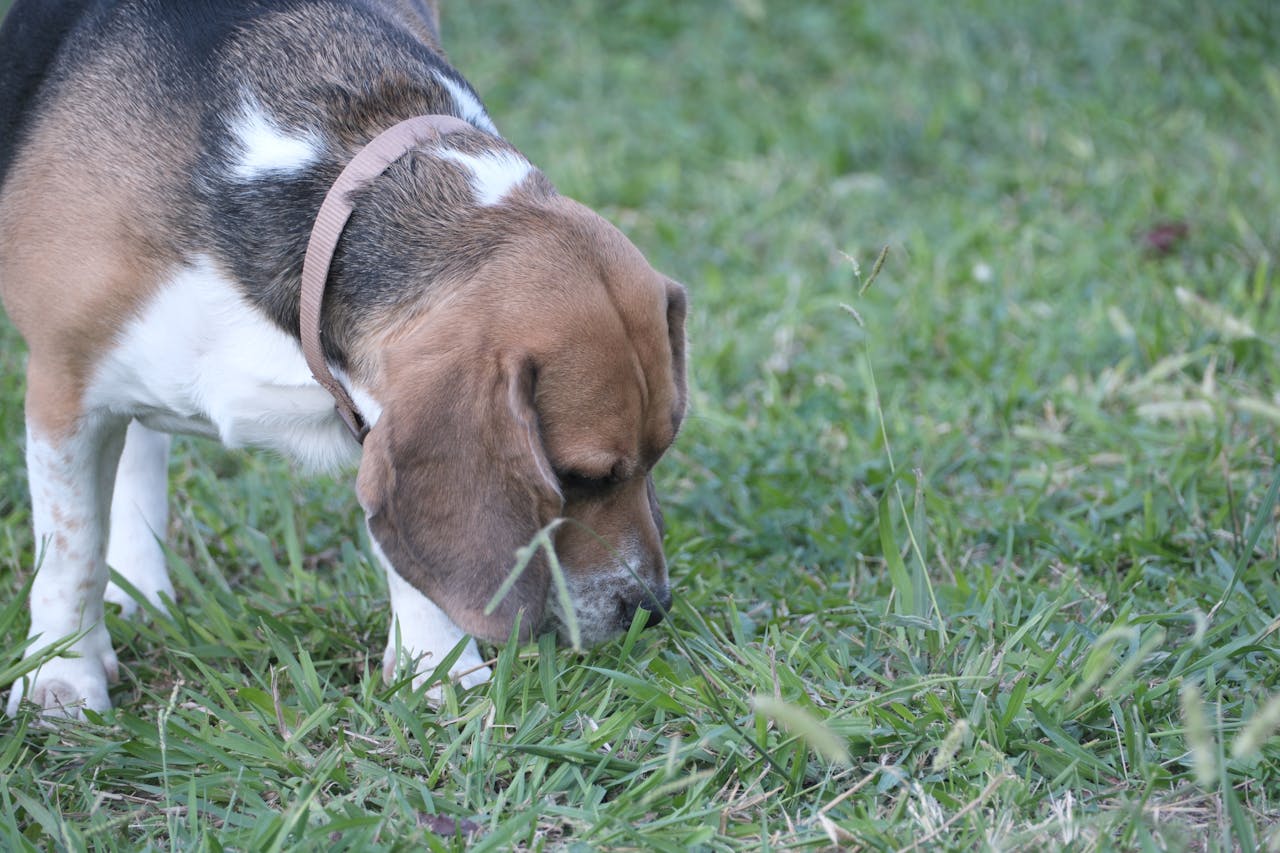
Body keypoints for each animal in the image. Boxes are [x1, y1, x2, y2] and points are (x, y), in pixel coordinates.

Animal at [0, 0, 686, 712]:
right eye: (574, 478)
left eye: (662, 452)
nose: (650, 610)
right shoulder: (63, 389)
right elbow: (71, 549)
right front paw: (61, 679)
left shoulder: (372, 403)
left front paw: (436, 668)